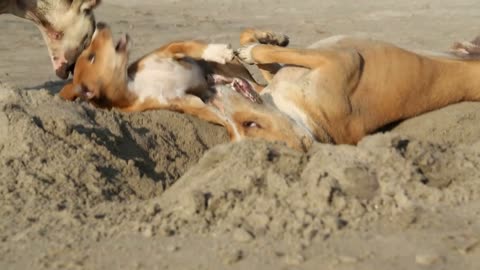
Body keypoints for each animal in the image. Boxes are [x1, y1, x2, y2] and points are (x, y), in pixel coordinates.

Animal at [61, 22, 480, 152]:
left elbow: (255, 49)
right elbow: (259, 52)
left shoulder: (331, 62)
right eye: (236, 130)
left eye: (251, 125)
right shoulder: (310, 67)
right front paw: (257, 43)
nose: (208, 94)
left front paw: (258, 42)